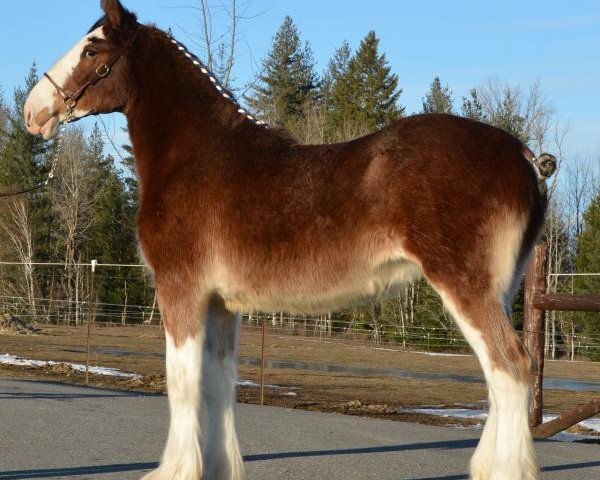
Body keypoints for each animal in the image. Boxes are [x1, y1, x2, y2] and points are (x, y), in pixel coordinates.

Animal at [24, 0, 556, 480]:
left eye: (92, 49)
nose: (33, 110)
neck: (198, 157)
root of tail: (524, 156)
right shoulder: (221, 303)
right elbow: (218, 383)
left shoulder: (181, 290)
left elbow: (182, 383)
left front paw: (176, 470)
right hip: (498, 288)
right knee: (499, 376)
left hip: (465, 285)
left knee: (510, 368)